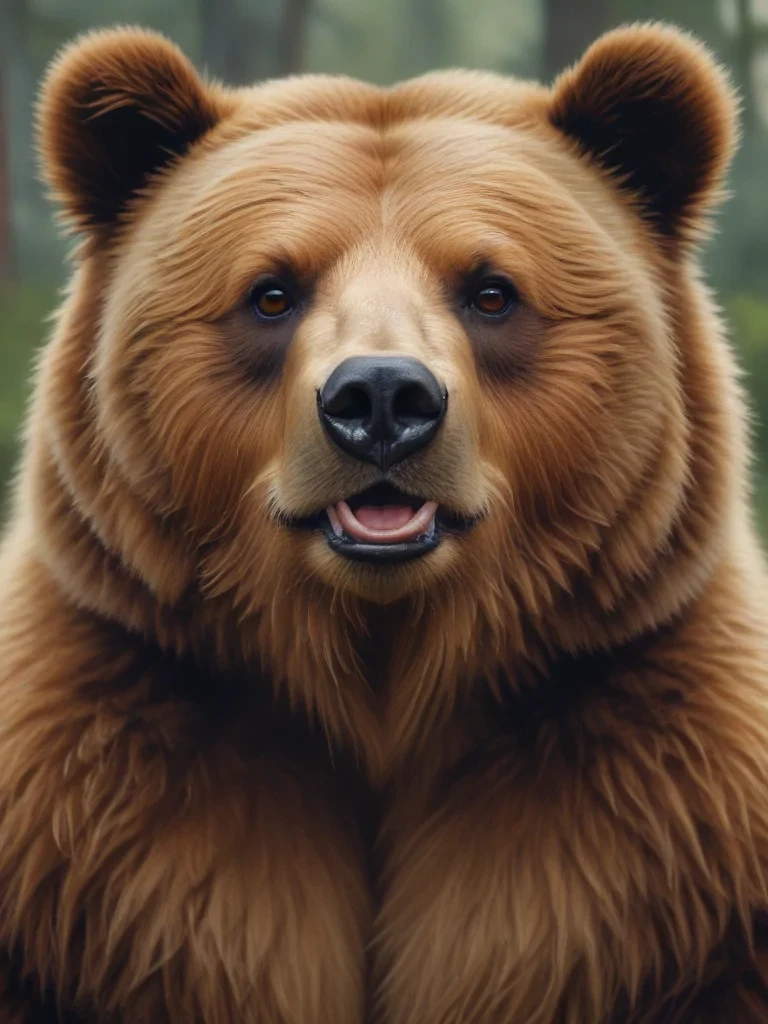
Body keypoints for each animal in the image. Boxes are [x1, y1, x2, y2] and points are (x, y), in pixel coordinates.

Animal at [0, 17, 766, 1024]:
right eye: (272, 292)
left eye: (491, 290)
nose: (381, 400)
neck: (382, 678)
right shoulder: (111, 792)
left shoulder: (653, 801)